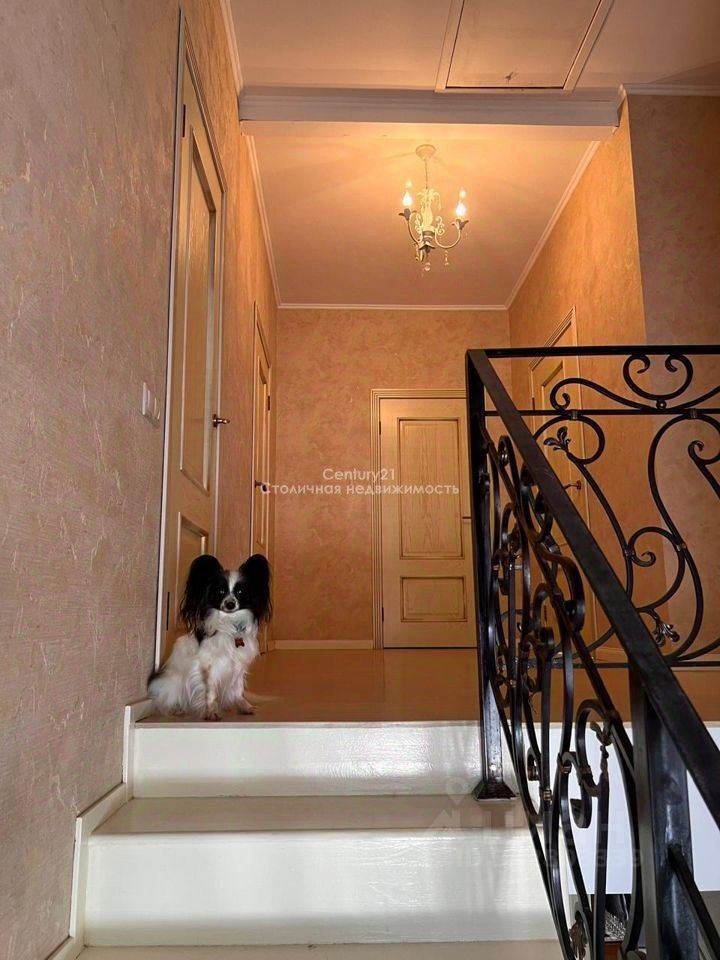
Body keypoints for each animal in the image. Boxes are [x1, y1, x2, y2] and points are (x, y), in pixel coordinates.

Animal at [149, 553, 271, 720]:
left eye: (240, 592)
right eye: (220, 591)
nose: (230, 604)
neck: (230, 626)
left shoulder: (238, 665)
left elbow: (238, 688)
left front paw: (243, 705)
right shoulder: (208, 666)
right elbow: (210, 691)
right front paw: (212, 712)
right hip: (171, 681)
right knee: (165, 699)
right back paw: (176, 708)